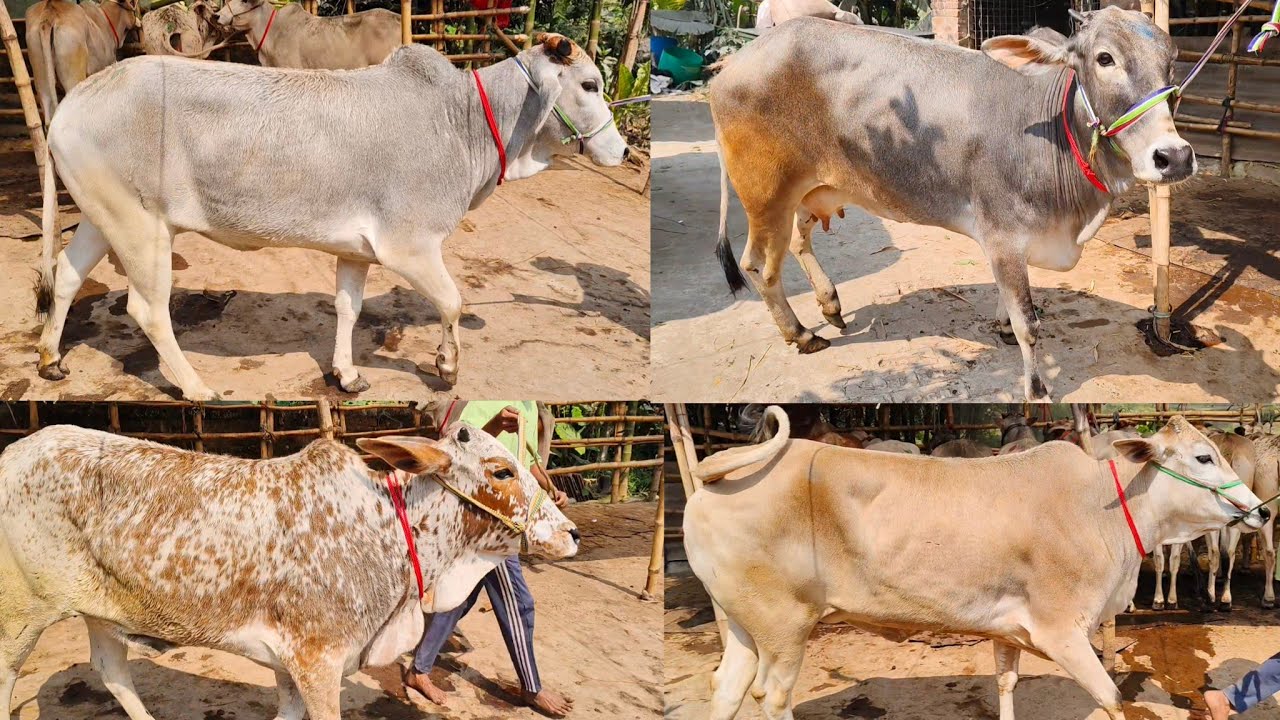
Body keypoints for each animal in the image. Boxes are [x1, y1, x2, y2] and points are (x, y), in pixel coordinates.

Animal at [0, 422, 579, 720]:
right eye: (501, 471)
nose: (570, 532)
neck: (387, 527)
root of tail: (13, 451)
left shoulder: (290, 663)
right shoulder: (317, 661)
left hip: (101, 609)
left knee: (112, 671)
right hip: (22, 613)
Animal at [33, 35, 628, 400]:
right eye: (590, 85)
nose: (623, 152)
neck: (462, 122)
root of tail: (71, 103)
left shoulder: (356, 251)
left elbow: (348, 308)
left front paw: (346, 373)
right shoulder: (411, 246)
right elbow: (452, 302)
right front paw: (446, 366)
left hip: (102, 218)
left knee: (65, 277)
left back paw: (49, 358)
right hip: (142, 228)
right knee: (148, 309)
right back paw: (197, 387)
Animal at [683, 407, 1268, 720]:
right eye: (1202, 457)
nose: (1261, 510)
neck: (1102, 504)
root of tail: (721, 468)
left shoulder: (1007, 632)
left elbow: (1006, 685)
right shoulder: (1062, 631)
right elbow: (1110, 698)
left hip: (745, 624)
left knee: (726, 687)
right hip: (785, 629)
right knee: (772, 696)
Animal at [710, 8, 1195, 399]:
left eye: (1171, 61)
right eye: (1104, 58)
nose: (1174, 157)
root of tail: (733, 64)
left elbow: (1010, 301)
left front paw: (1001, 326)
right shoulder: (1002, 234)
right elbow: (1028, 323)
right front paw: (1036, 387)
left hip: (814, 190)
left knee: (799, 241)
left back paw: (830, 304)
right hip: (766, 195)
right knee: (760, 266)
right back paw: (801, 332)